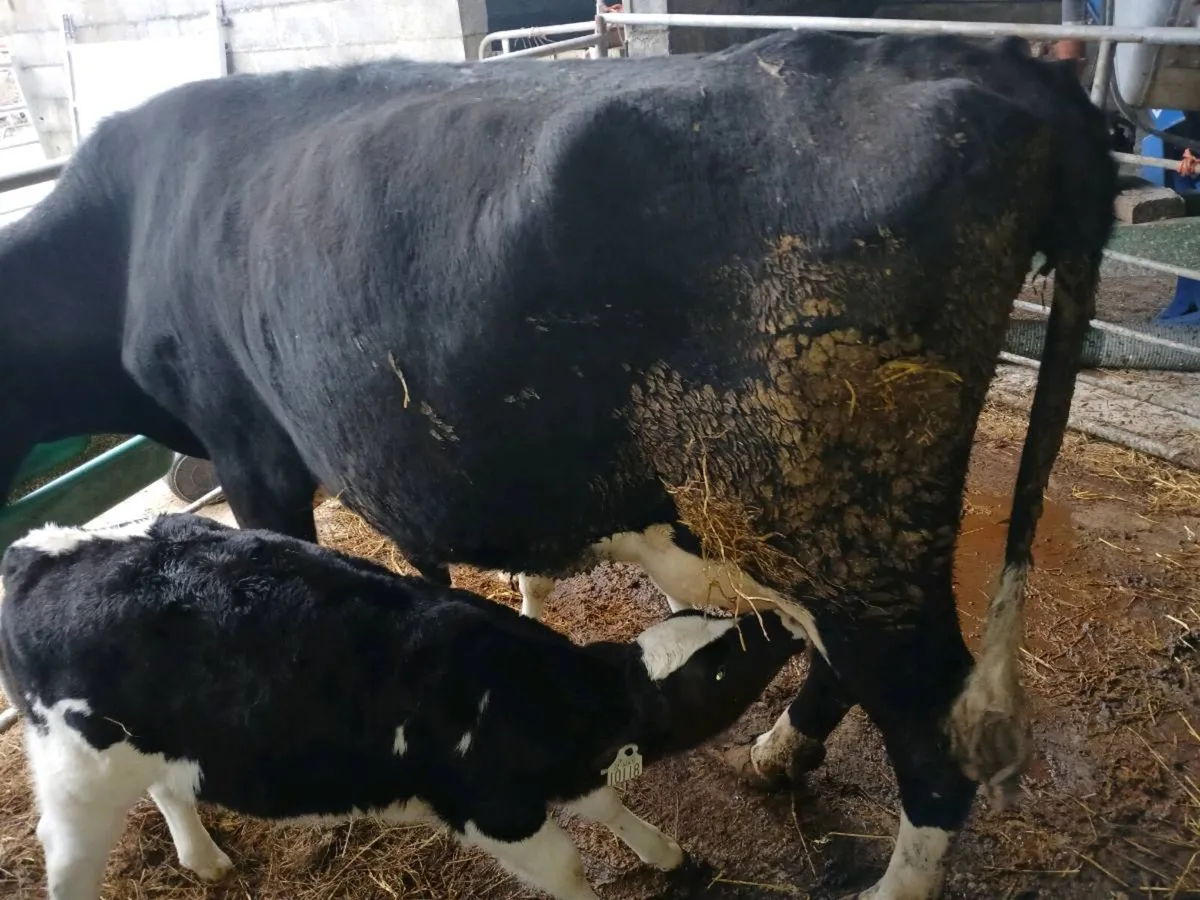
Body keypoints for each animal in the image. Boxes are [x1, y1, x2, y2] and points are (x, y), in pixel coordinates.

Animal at [0, 513, 807, 900]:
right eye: (721, 669)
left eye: (715, 628)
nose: (786, 627)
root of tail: (39, 547)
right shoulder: (496, 813)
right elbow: (571, 870)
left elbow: (609, 804)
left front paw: (663, 851)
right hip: (77, 774)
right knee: (67, 856)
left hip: (150, 743)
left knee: (169, 789)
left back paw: (205, 859)